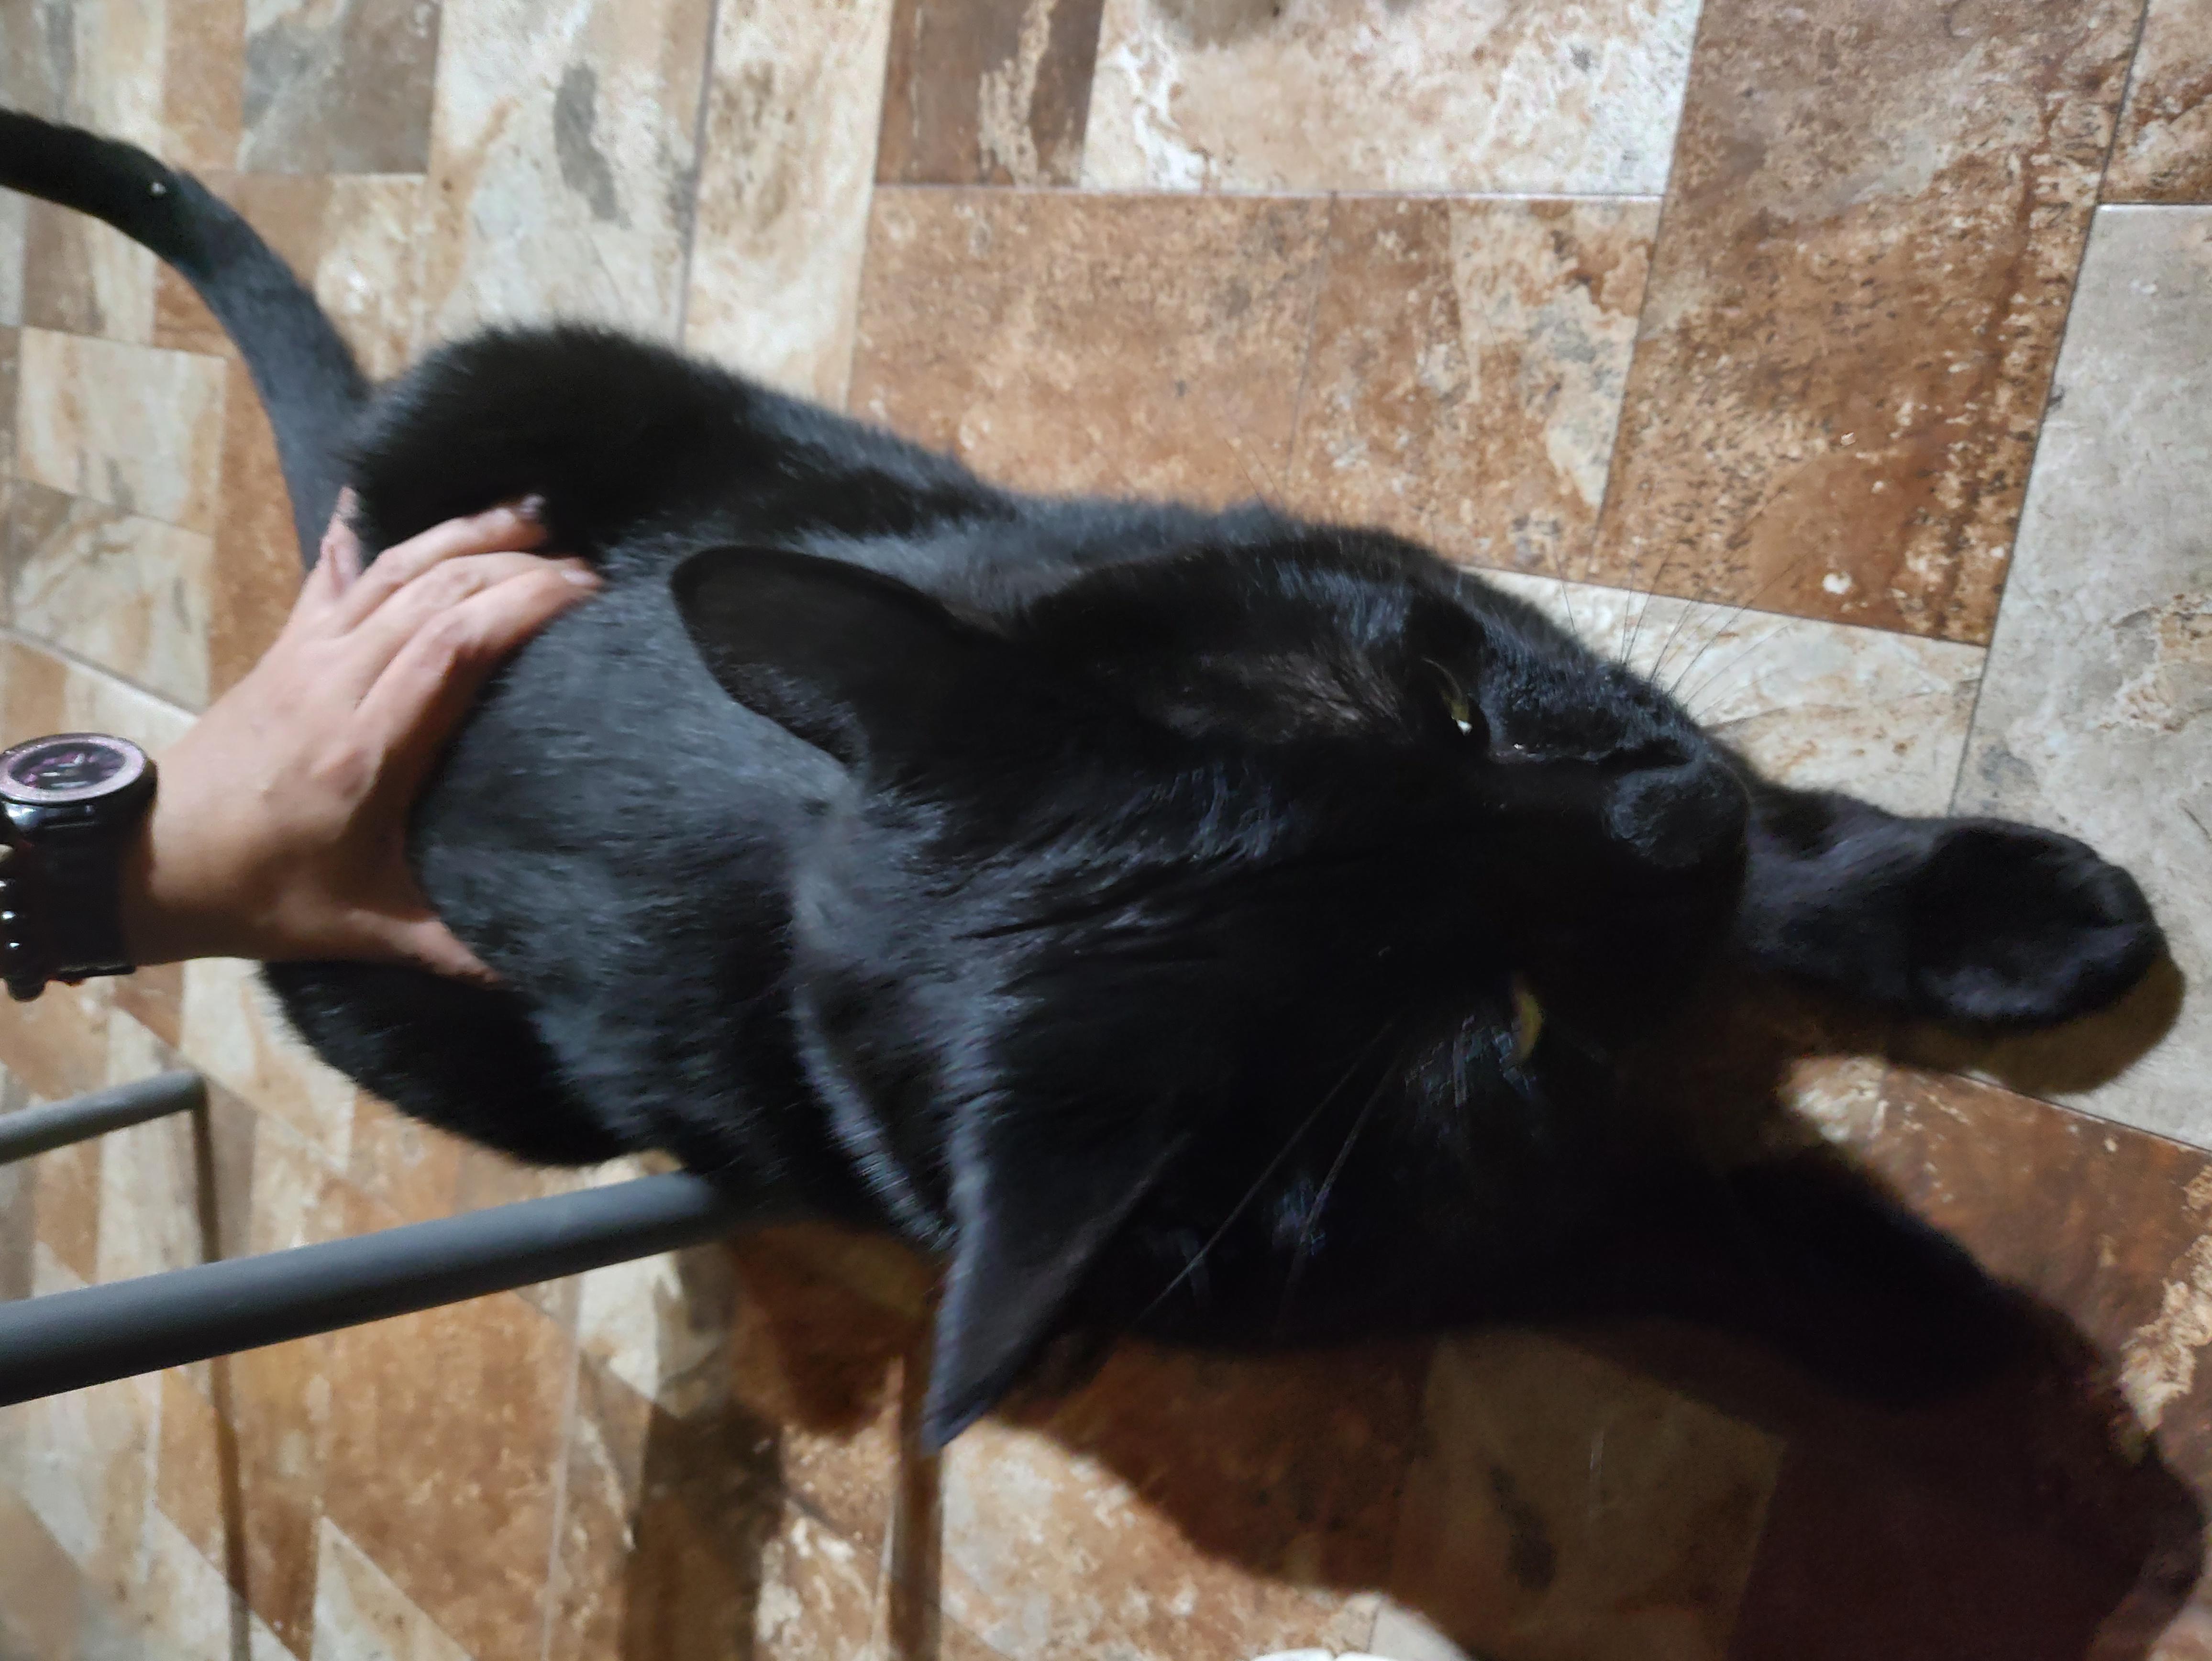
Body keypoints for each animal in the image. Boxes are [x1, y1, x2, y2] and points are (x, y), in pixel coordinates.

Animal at [0, 108, 2166, 1447]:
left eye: (1448, 710)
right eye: (1504, 1030)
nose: (1667, 827)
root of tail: (335, 524)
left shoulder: (1541, 641)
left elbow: (1792, 832)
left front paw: (2000, 911)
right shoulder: (1420, 1250)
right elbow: (1650, 1224)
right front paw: (1932, 1324)